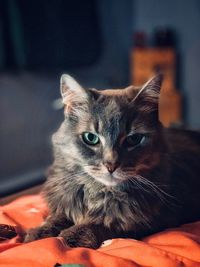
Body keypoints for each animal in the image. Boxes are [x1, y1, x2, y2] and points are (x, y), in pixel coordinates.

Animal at [24, 74, 200, 250]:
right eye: (90, 138)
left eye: (134, 139)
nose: (111, 165)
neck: (99, 191)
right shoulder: (64, 201)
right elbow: (57, 217)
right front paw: (39, 234)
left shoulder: (152, 220)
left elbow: (104, 224)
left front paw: (70, 236)